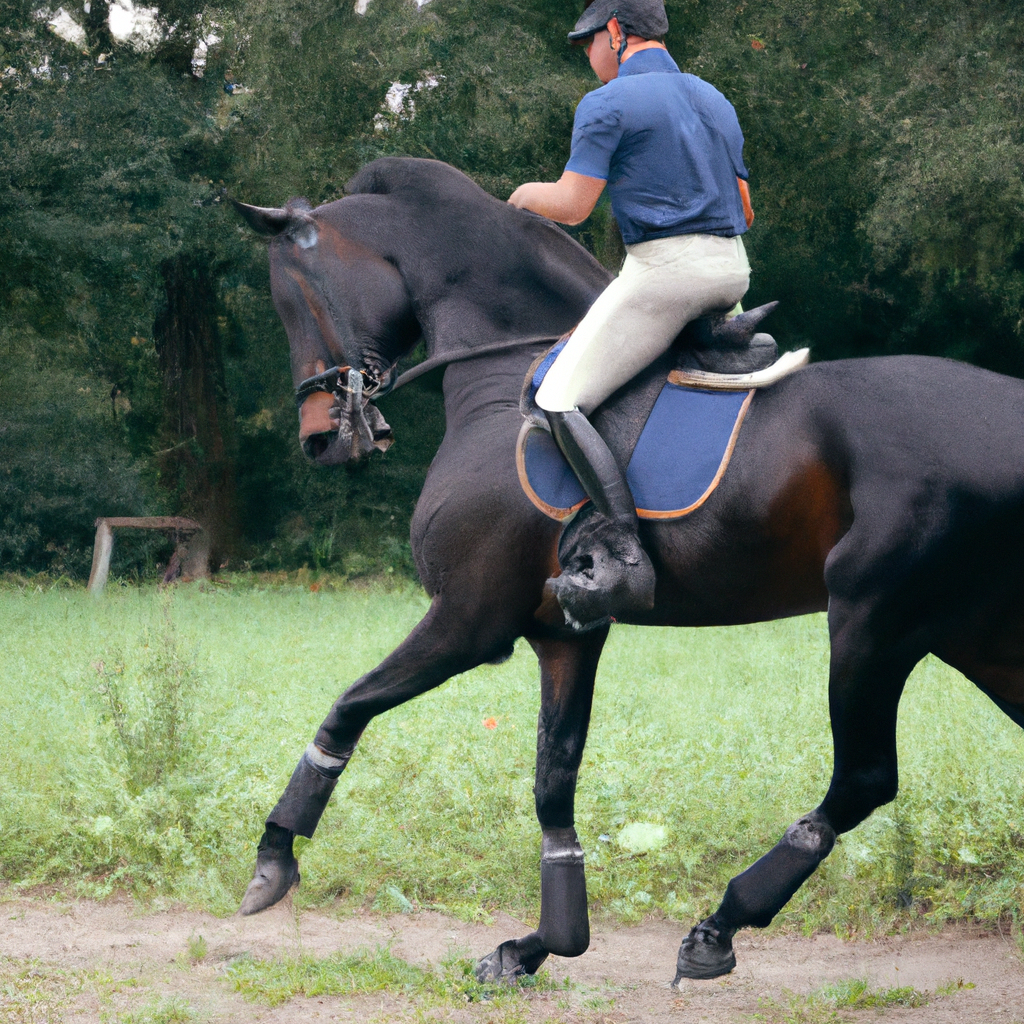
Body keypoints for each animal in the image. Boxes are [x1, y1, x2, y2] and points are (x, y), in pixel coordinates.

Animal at [235, 157, 1024, 983]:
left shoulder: (470, 618)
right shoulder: (564, 634)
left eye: (293, 294)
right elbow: (554, 782)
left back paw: (720, 926)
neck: (501, 375)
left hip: (875, 622)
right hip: (976, 637)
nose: (320, 439)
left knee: (865, 777)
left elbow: (349, 708)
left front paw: (273, 856)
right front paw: (541, 943)